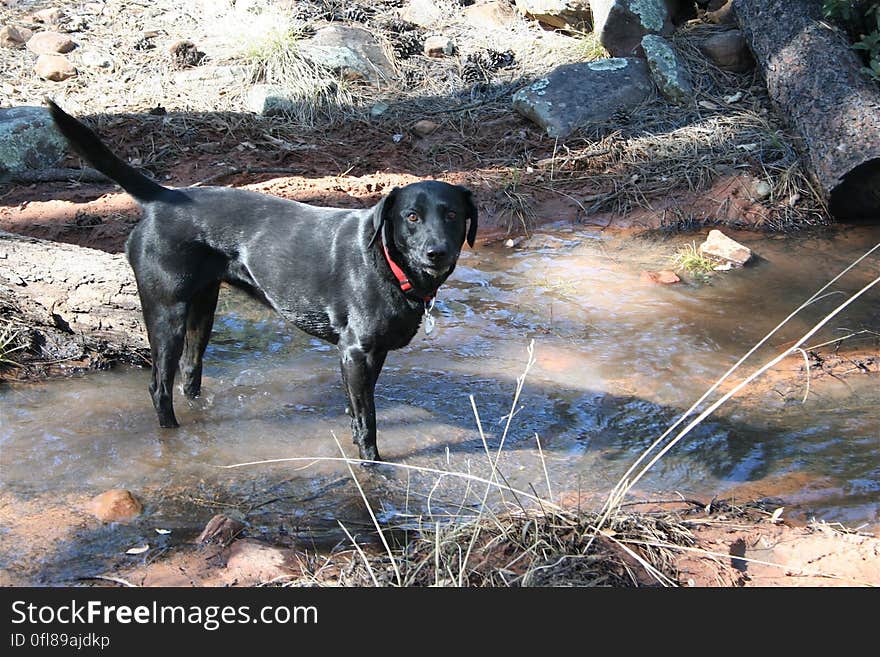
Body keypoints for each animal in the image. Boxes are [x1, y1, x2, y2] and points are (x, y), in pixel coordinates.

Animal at [48, 101, 474, 462]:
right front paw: (373, 465)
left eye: (452, 215)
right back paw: (173, 434)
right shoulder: (355, 352)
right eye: (411, 217)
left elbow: (358, 411)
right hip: (166, 311)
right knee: (159, 387)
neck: (387, 262)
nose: (437, 252)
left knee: (190, 373)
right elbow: (367, 421)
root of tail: (162, 197)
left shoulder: (373, 354)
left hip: (203, 310)